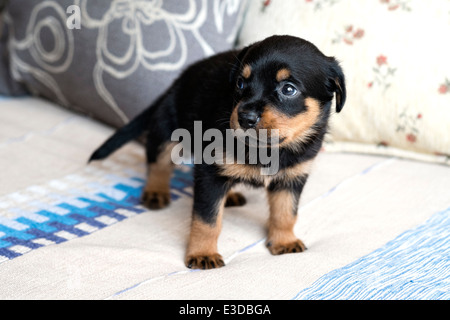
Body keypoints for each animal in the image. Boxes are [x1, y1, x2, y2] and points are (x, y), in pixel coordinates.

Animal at [89, 35, 346, 270]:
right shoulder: (209, 175)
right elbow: (207, 220)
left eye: (288, 89)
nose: (245, 118)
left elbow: (286, 213)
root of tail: (177, 81)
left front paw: (284, 241)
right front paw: (203, 254)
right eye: (240, 84)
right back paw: (156, 192)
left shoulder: (292, 178)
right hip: (166, 128)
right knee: (158, 163)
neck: (268, 150)